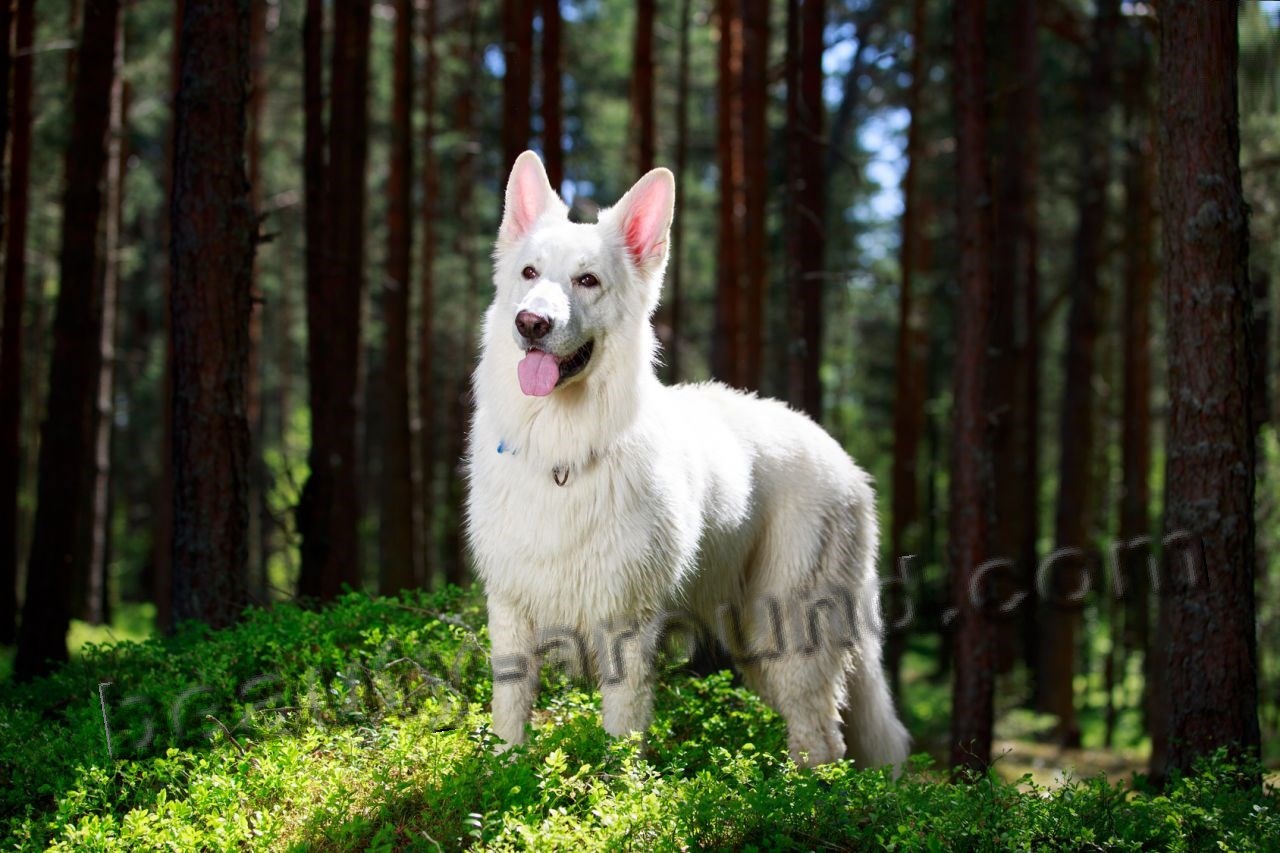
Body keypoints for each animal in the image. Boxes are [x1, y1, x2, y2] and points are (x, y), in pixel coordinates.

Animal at [463, 149, 911, 768]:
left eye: (587, 280)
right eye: (529, 274)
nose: (530, 323)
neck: (562, 451)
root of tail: (842, 457)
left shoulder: (627, 627)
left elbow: (621, 735)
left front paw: (619, 790)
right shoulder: (510, 614)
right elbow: (509, 721)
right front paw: (501, 776)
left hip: (792, 639)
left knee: (822, 739)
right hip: (756, 645)